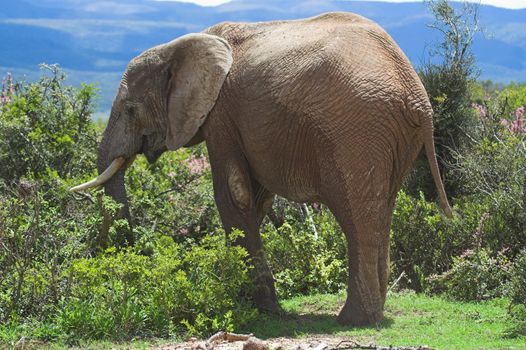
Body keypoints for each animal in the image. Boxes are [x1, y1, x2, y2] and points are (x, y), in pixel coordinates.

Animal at [71, 11, 454, 328]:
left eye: (130, 109)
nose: (138, 251)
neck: (180, 46)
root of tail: (418, 97)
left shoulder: (221, 115)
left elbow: (233, 193)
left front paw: (255, 307)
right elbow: (255, 199)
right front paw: (257, 302)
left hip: (357, 131)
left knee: (357, 217)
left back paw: (355, 320)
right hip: (389, 138)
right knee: (381, 210)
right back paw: (369, 315)